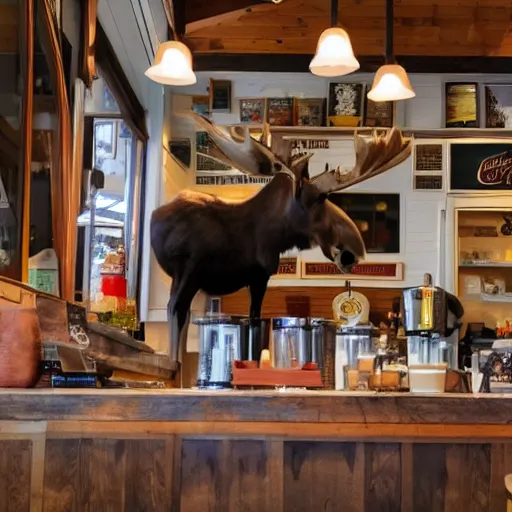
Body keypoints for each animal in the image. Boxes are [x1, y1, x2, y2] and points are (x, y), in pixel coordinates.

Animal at [149, 112, 412, 374]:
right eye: (321, 197)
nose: (353, 251)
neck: (272, 235)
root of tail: (155, 218)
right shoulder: (233, 273)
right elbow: (240, 318)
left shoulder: (255, 277)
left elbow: (253, 317)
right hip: (187, 272)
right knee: (175, 309)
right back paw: (173, 365)